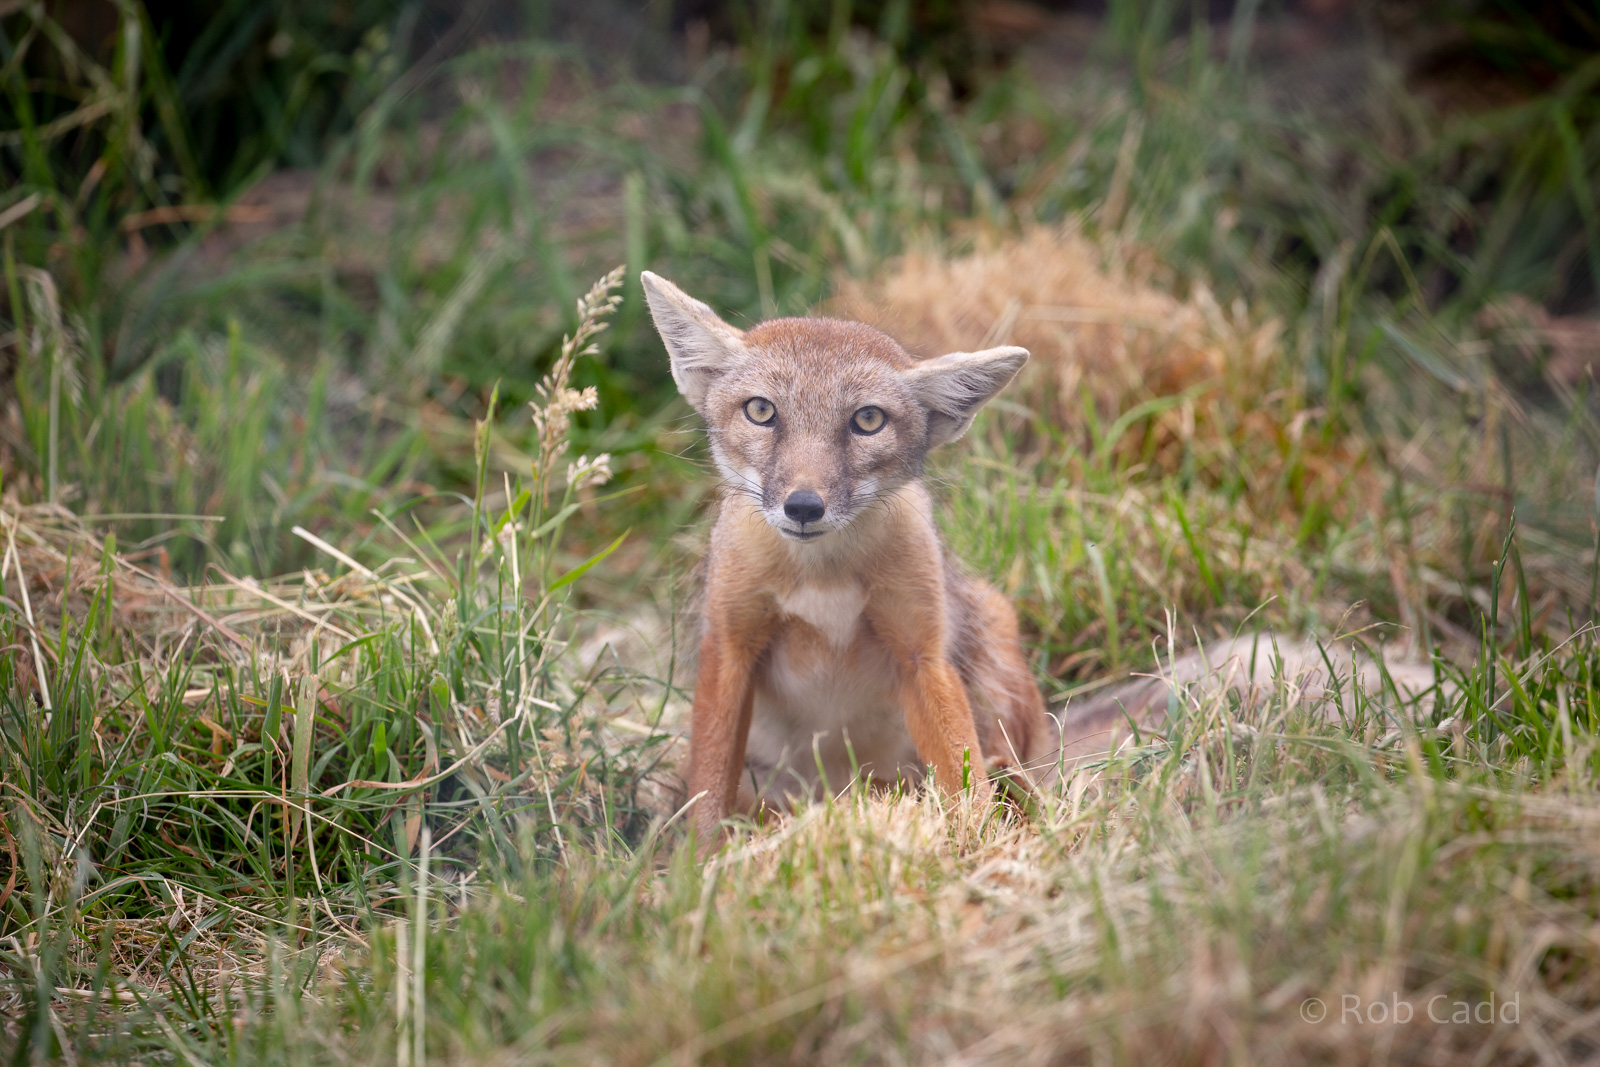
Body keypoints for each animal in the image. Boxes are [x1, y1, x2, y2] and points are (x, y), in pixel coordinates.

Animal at [641, 270, 1051, 844]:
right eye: (761, 411)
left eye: (868, 420)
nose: (803, 506)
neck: (822, 577)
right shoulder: (729, 647)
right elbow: (709, 791)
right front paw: (699, 862)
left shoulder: (921, 654)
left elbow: (963, 776)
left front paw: (977, 844)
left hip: (993, 644)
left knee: (1003, 768)